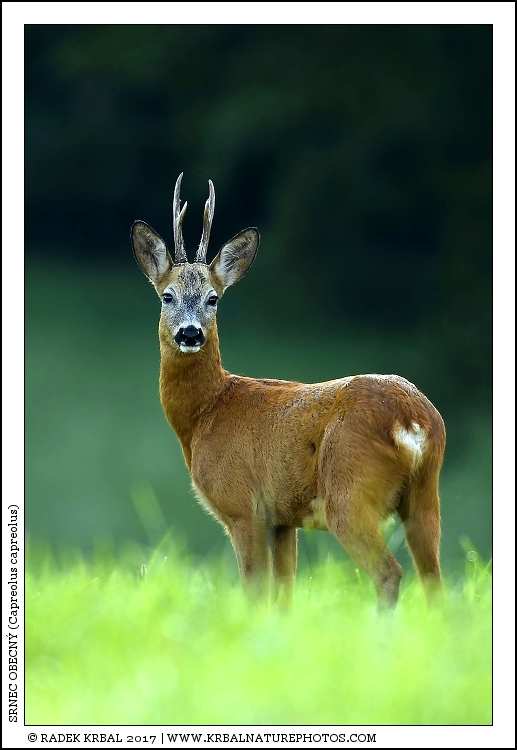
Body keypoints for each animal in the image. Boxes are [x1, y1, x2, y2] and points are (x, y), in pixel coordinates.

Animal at [131, 173, 445, 609]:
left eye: (213, 298)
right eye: (167, 295)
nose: (190, 333)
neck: (206, 413)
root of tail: (411, 420)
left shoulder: (244, 507)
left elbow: (254, 589)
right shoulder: (282, 518)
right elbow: (285, 592)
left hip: (349, 490)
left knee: (389, 571)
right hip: (425, 494)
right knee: (434, 579)